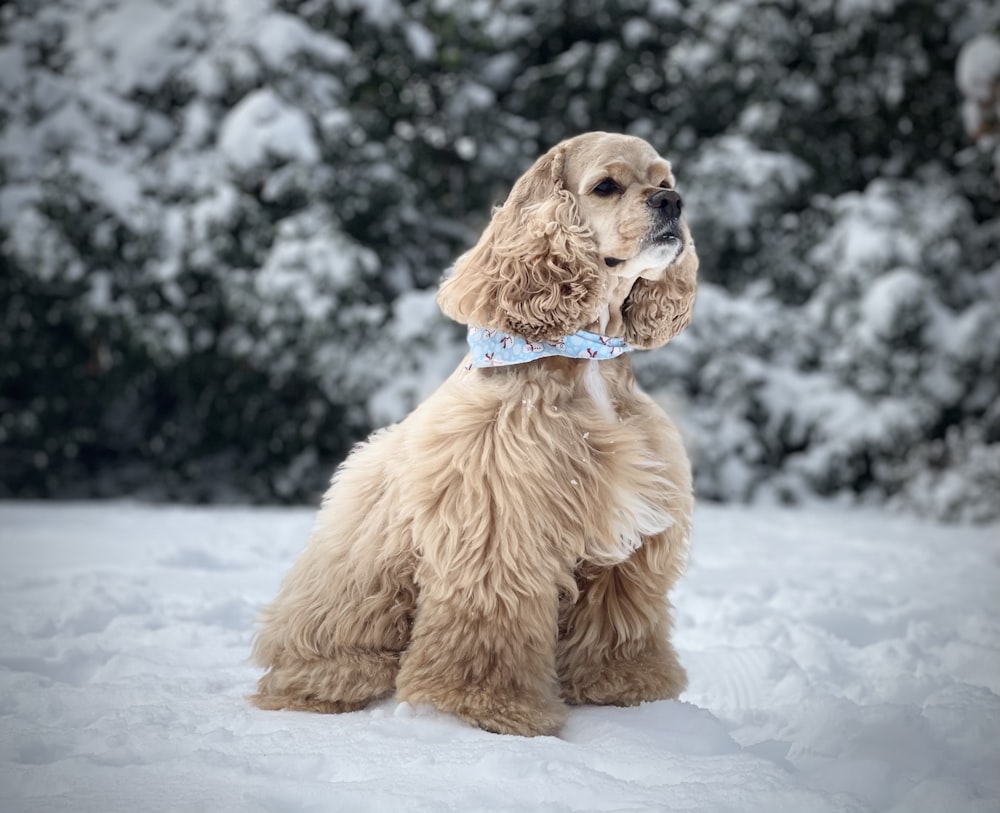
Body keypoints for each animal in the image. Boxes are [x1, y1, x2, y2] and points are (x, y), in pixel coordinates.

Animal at [254, 132, 700, 736]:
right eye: (606, 186)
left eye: (665, 181)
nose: (671, 203)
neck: (584, 356)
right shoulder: (499, 521)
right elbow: (489, 624)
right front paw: (487, 708)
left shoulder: (627, 535)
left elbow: (619, 617)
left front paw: (627, 687)